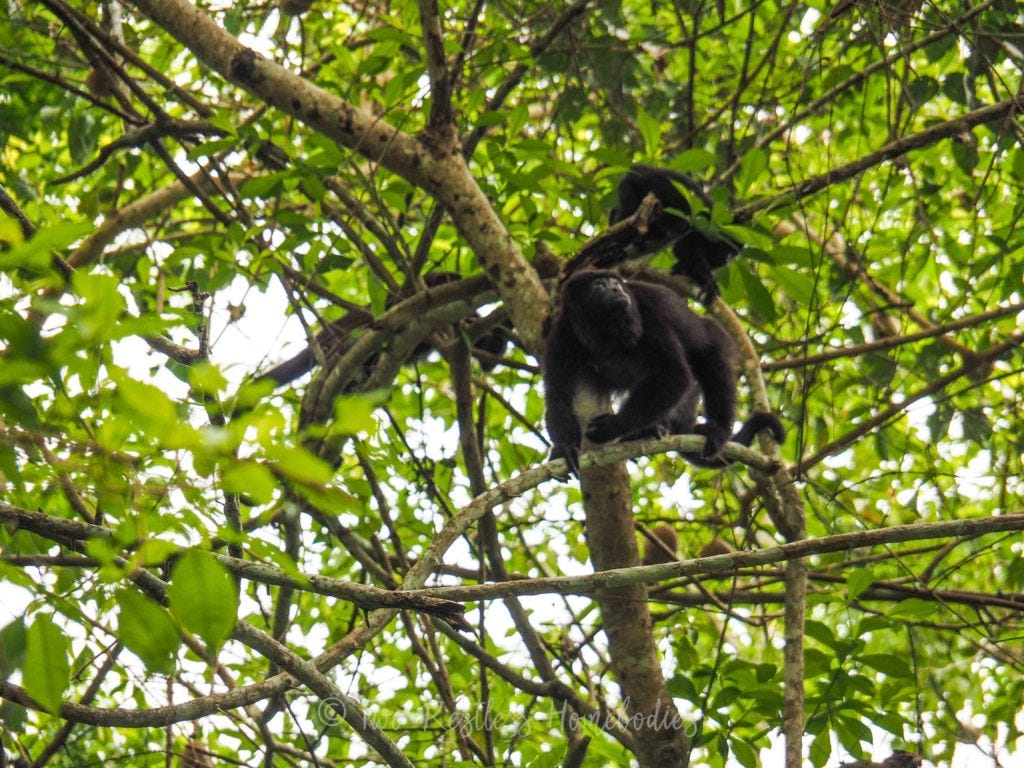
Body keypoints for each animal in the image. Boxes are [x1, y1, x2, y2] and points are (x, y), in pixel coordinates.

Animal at [544, 268, 782, 475]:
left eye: (615, 282)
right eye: (598, 285)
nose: (616, 288)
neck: (604, 330)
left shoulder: (651, 312)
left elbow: (675, 374)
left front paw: (612, 426)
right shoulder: (560, 335)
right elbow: (558, 396)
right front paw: (565, 448)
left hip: (716, 339)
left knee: (713, 366)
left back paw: (715, 429)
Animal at [606, 165, 745, 307]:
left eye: (734, 253)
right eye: (728, 247)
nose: (728, 259)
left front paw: (680, 268)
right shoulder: (700, 226)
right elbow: (684, 250)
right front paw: (709, 285)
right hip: (631, 187)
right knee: (629, 215)